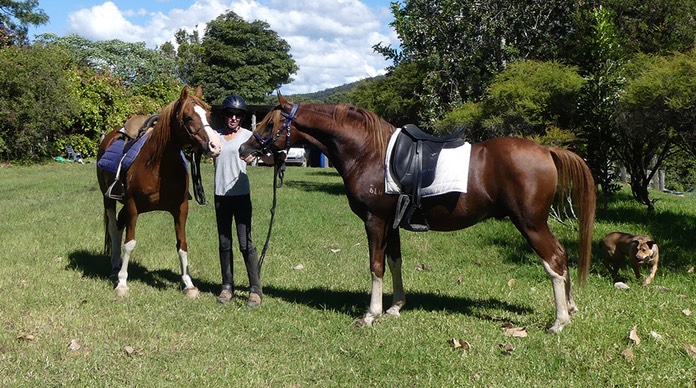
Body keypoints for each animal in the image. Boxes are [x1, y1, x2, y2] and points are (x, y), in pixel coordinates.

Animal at [96, 85, 222, 298]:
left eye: (208, 114)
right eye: (188, 117)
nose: (216, 146)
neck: (157, 167)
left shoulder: (180, 209)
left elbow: (182, 245)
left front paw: (188, 284)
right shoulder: (132, 206)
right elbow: (129, 244)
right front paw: (122, 283)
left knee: (119, 226)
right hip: (109, 200)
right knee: (114, 228)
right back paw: (114, 267)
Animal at [241, 93, 600, 330]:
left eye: (270, 123)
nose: (245, 149)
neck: (368, 152)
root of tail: (545, 149)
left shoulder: (375, 221)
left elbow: (375, 265)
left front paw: (371, 314)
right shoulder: (392, 223)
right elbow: (394, 261)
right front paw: (395, 307)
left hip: (530, 223)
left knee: (553, 261)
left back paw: (559, 321)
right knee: (562, 255)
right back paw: (570, 308)